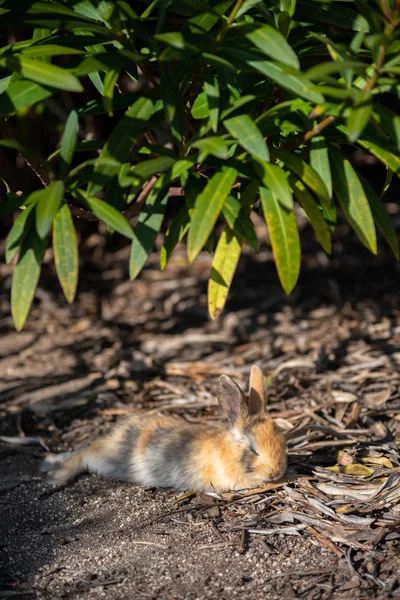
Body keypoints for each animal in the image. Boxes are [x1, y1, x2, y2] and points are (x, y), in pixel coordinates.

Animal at [41, 366, 288, 492]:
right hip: (105, 457)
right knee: (83, 454)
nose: (277, 472)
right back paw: (55, 477)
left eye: (282, 442)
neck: (228, 451)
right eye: (253, 449)